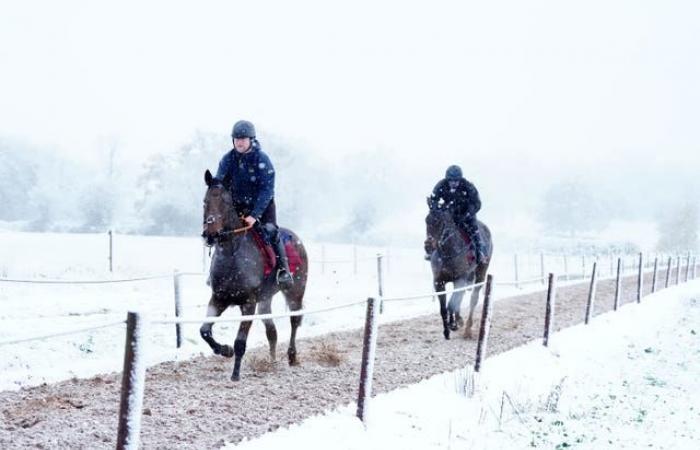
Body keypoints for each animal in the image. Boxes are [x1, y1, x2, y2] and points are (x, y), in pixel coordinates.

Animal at [197, 171, 306, 382]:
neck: (232, 254)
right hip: (265, 301)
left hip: (295, 292)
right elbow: (204, 331)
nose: (210, 234)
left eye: (225, 202)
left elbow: (240, 342)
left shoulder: (249, 303)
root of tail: (296, 239)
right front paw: (225, 350)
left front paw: (235, 374)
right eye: (205, 201)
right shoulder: (218, 299)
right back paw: (272, 361)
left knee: (295, 321)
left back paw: (292, 356)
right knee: (271, 330)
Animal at [422, 202, 492, 340]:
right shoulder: (438, 282)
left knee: (473, 298)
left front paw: (453, 324)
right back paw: (460, 320)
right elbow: (444, 308)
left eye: (440, 222)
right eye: (427, 220)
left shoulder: (460, 279)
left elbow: (451, 304)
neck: (448, 253)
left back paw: (467, 329)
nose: (428, 246)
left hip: (481, 273)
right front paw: (447, 331)